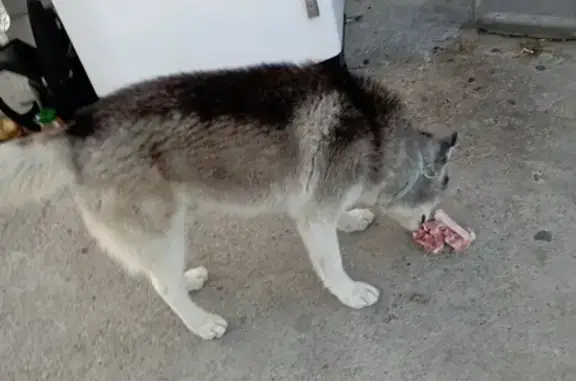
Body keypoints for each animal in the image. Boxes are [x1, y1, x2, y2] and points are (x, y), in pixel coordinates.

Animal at [1, 61, 460, 338]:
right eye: (440, 190)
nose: (435, 220)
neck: (376, 134)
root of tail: (76, 128)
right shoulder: (313, 216)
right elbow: (332, 263)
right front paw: (349, 292)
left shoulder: (313, 207)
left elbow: (338, 219)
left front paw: (351, 219)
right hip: (164, 231)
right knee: (163, 287)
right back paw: (200, 322)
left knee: (162, 276)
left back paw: (187, 280)